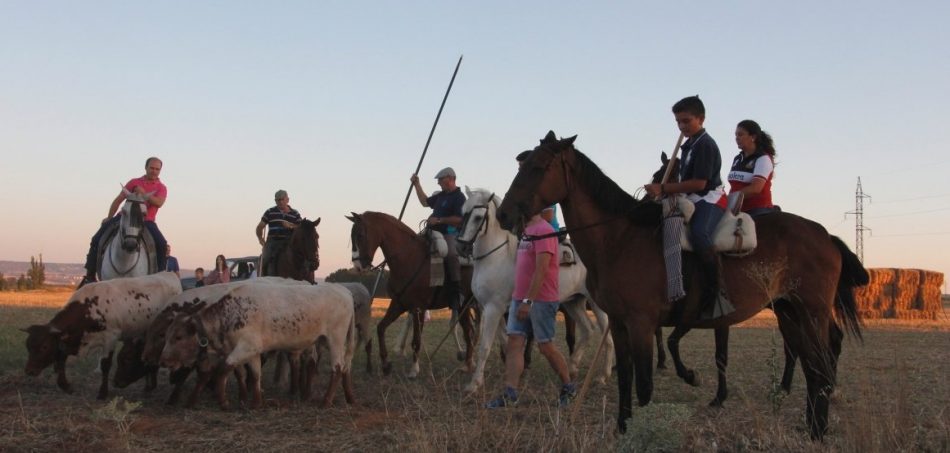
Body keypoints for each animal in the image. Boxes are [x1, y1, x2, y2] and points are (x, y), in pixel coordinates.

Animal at [23, 270, 183, 398]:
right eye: (28, 346)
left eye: (44, 347)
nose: (29, 371)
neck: (89, 308)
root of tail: (168, 273)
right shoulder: (71, 340)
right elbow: (60, 359)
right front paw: (65, 385)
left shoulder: (111, 337)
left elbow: (105, 364)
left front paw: (102, 393)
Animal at [160, 280, 356, 408]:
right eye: (167, 335)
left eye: (178, 337)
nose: (164, 360)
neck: (229, 314)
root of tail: (343, 290)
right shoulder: (253, 351)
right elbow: (255, 375)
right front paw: (256, 403)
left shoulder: (246, 347)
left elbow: (224, 368)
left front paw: (223, 401)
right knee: (344, 365)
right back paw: (348, 397)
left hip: (335, 338)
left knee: (338, 367)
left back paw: (326, 401)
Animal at [348, 210, 480, 376]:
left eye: (360, 235)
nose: (358, 266)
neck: (408, 258)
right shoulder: (398, 304)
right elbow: (380, 328)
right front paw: (385, 364)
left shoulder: (418, 308)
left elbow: (416, 339)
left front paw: (414, 369)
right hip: (464, 307)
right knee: (469, 332)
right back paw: (468, 363)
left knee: (471, 332)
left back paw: (469, 363)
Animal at [456, 187, 616, 392]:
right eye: (463, 213)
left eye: (477, 217)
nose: (461, 246)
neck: (496, 257)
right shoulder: (489, 309)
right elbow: (505, 342)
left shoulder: (494, 308)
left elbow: (485, 347)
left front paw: (474, 384)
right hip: (574, 302)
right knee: (587, 330)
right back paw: (572, 367)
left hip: (595, 303)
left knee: (607, 336)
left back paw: (603, 375)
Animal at [498, 130, 872, 438]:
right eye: (523, 164)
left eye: (538, 167)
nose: (503, 214)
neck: (621, 237)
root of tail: (823, 234)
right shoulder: (620, 323)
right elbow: (625, 378)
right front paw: (622, 427)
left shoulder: (642, 323)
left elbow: (645, 383)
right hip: (790, 310)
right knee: (811, 362)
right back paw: (810, 423)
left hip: (810, 312)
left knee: (821, 362)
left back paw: (817, 429)